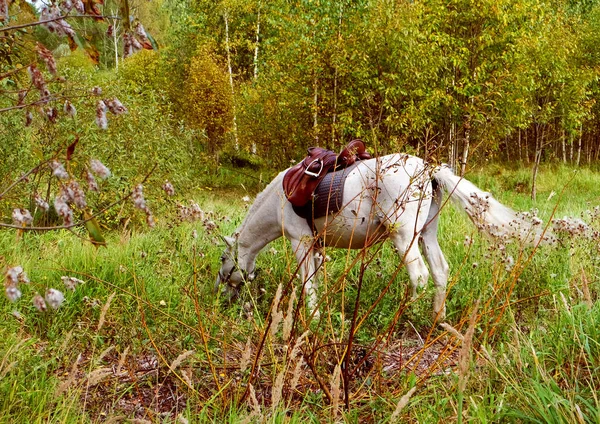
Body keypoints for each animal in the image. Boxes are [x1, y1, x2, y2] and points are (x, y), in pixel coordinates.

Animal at [217, 154, 540, 320]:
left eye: (223, 260)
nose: (223, 297)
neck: (279, 199)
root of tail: (427, 170)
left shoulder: (301, 243)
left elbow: (307, 284)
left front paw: (312, 319)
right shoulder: (317, 248)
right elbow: (317, 282)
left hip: (405, 237)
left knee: (420, 275)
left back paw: (408, 316)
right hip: (426, 233)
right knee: (439, 271)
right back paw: (438, 317)